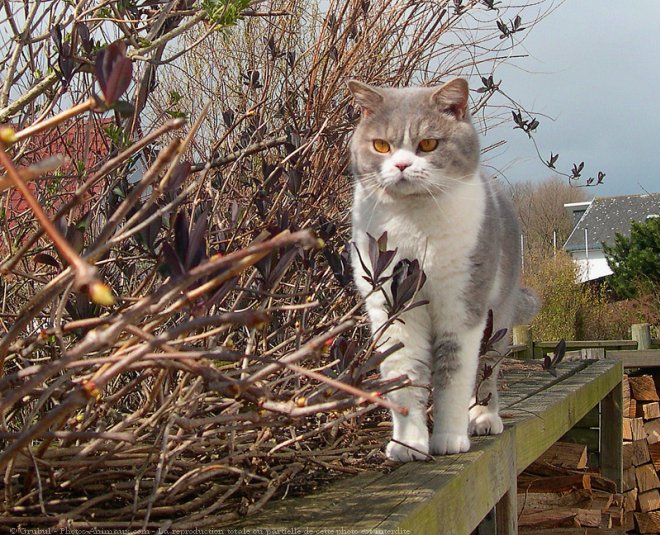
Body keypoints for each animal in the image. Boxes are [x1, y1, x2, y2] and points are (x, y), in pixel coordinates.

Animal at [348, 77, 540, 462]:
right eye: (381, 145)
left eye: (427, 144)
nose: (402, 165)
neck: (414, 223)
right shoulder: (392, 307)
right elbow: (404, 374)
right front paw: (409, 444)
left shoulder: (460, 305)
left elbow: (453, 373)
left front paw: (450, 438)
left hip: (497, 315)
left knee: (486, 369)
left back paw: (482, 418)